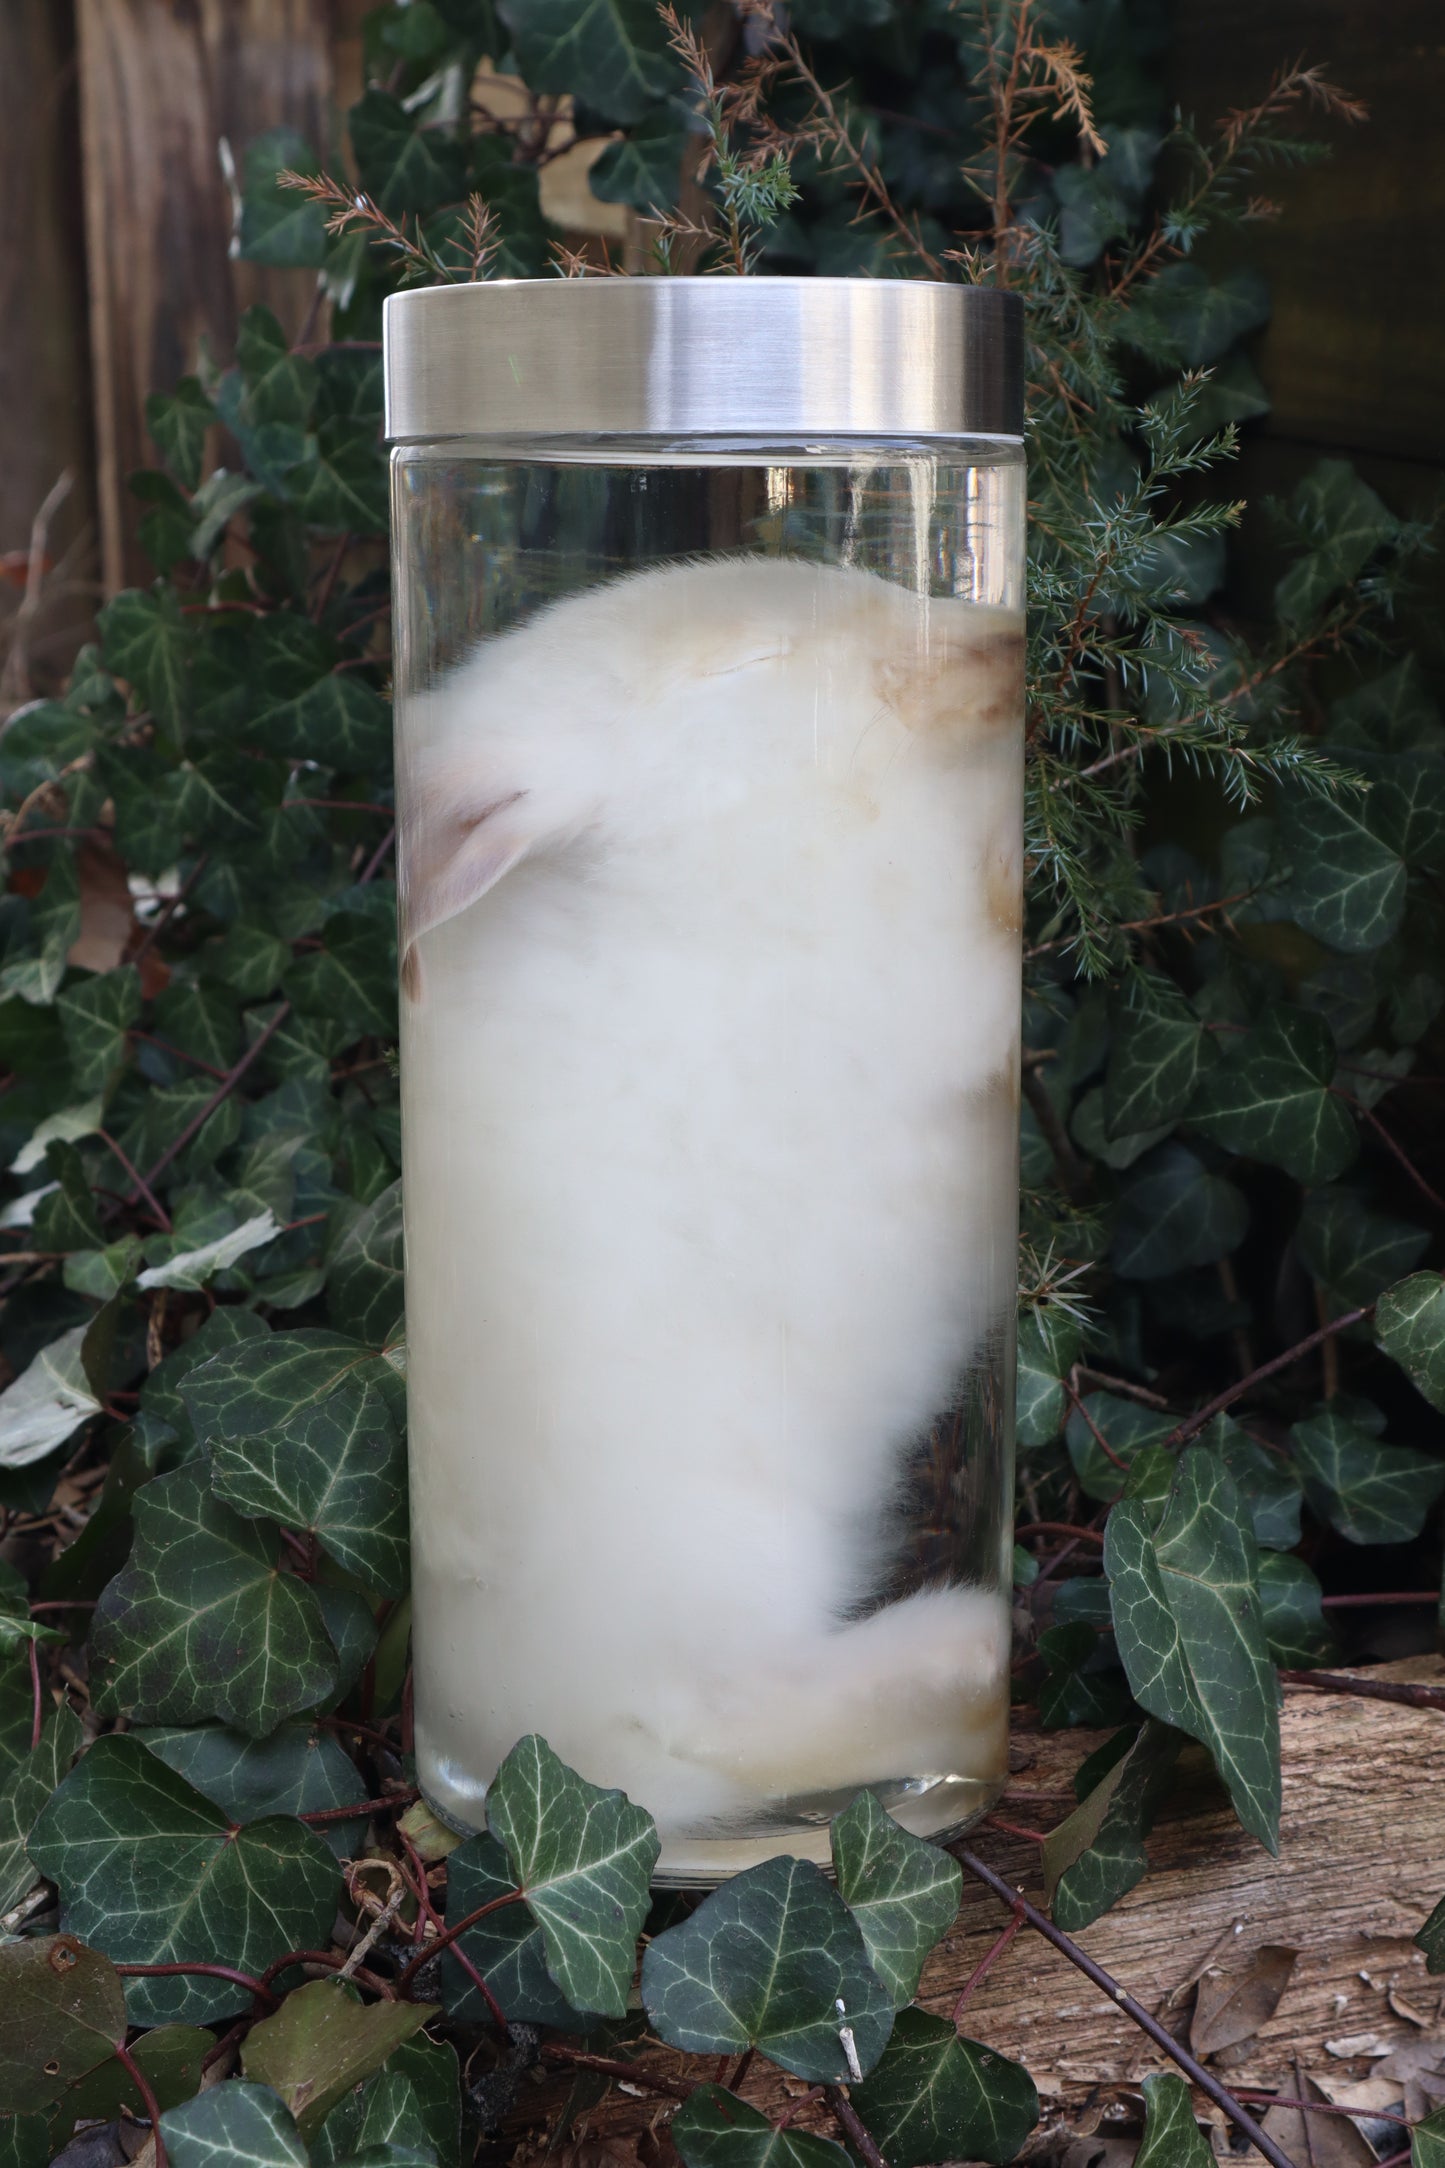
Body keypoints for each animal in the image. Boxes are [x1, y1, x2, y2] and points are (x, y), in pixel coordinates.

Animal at [397, 554, 1025, 1840]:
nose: (997, 638)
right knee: (724, 1726)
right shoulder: (908, 980)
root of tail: (529, 1748)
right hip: (724, 1565)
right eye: (747, 663)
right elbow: (979, 957)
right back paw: (963, 1644)